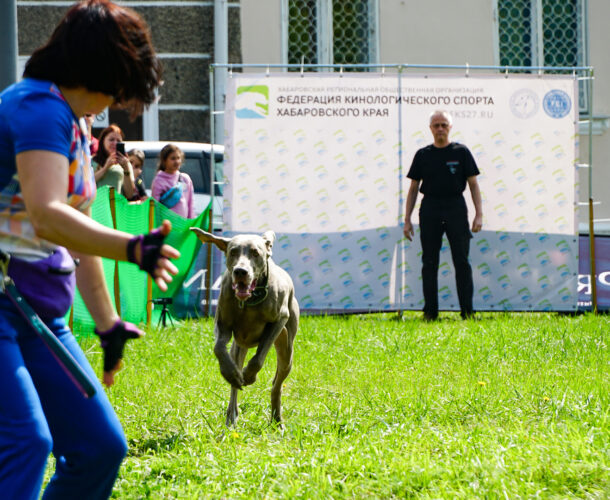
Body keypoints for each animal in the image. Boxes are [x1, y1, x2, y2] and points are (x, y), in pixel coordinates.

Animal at [188, 227, 296, 426]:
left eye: (255, 253)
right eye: (233, 252)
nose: (240, 271)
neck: (250, 301)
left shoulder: (279, 320)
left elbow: (258, 358)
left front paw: (249, 376)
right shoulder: (222, 324)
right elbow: (219, 349)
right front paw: (232, 374)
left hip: (287, 352)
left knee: (277, 385)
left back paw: (277, 419)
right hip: (238, 347)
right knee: (234, 383)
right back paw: (232, 415)